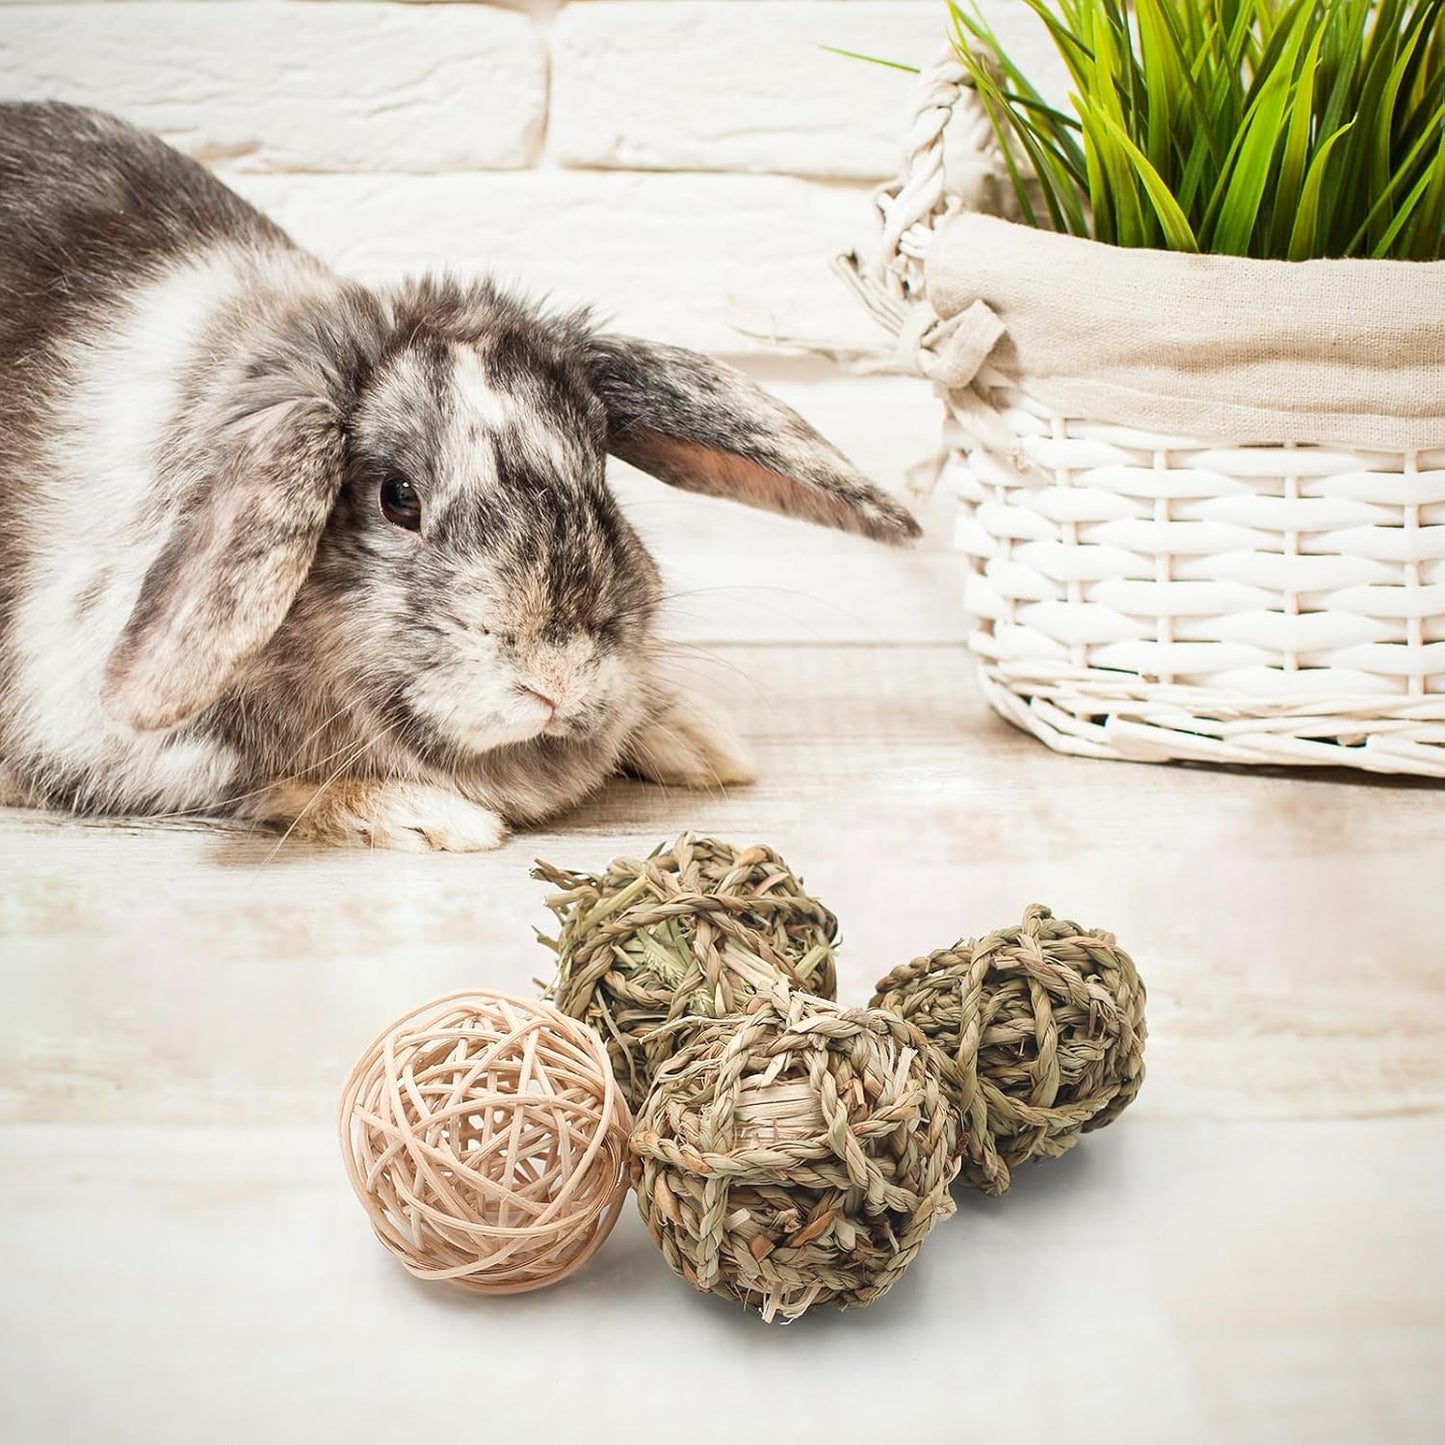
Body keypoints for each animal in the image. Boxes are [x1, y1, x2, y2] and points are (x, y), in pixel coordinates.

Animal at [0, 103, 919, 851]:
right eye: (396, 497)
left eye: (601, 473)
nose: (557, 675)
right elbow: (266, 782)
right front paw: (432, 816)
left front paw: (696, 738)